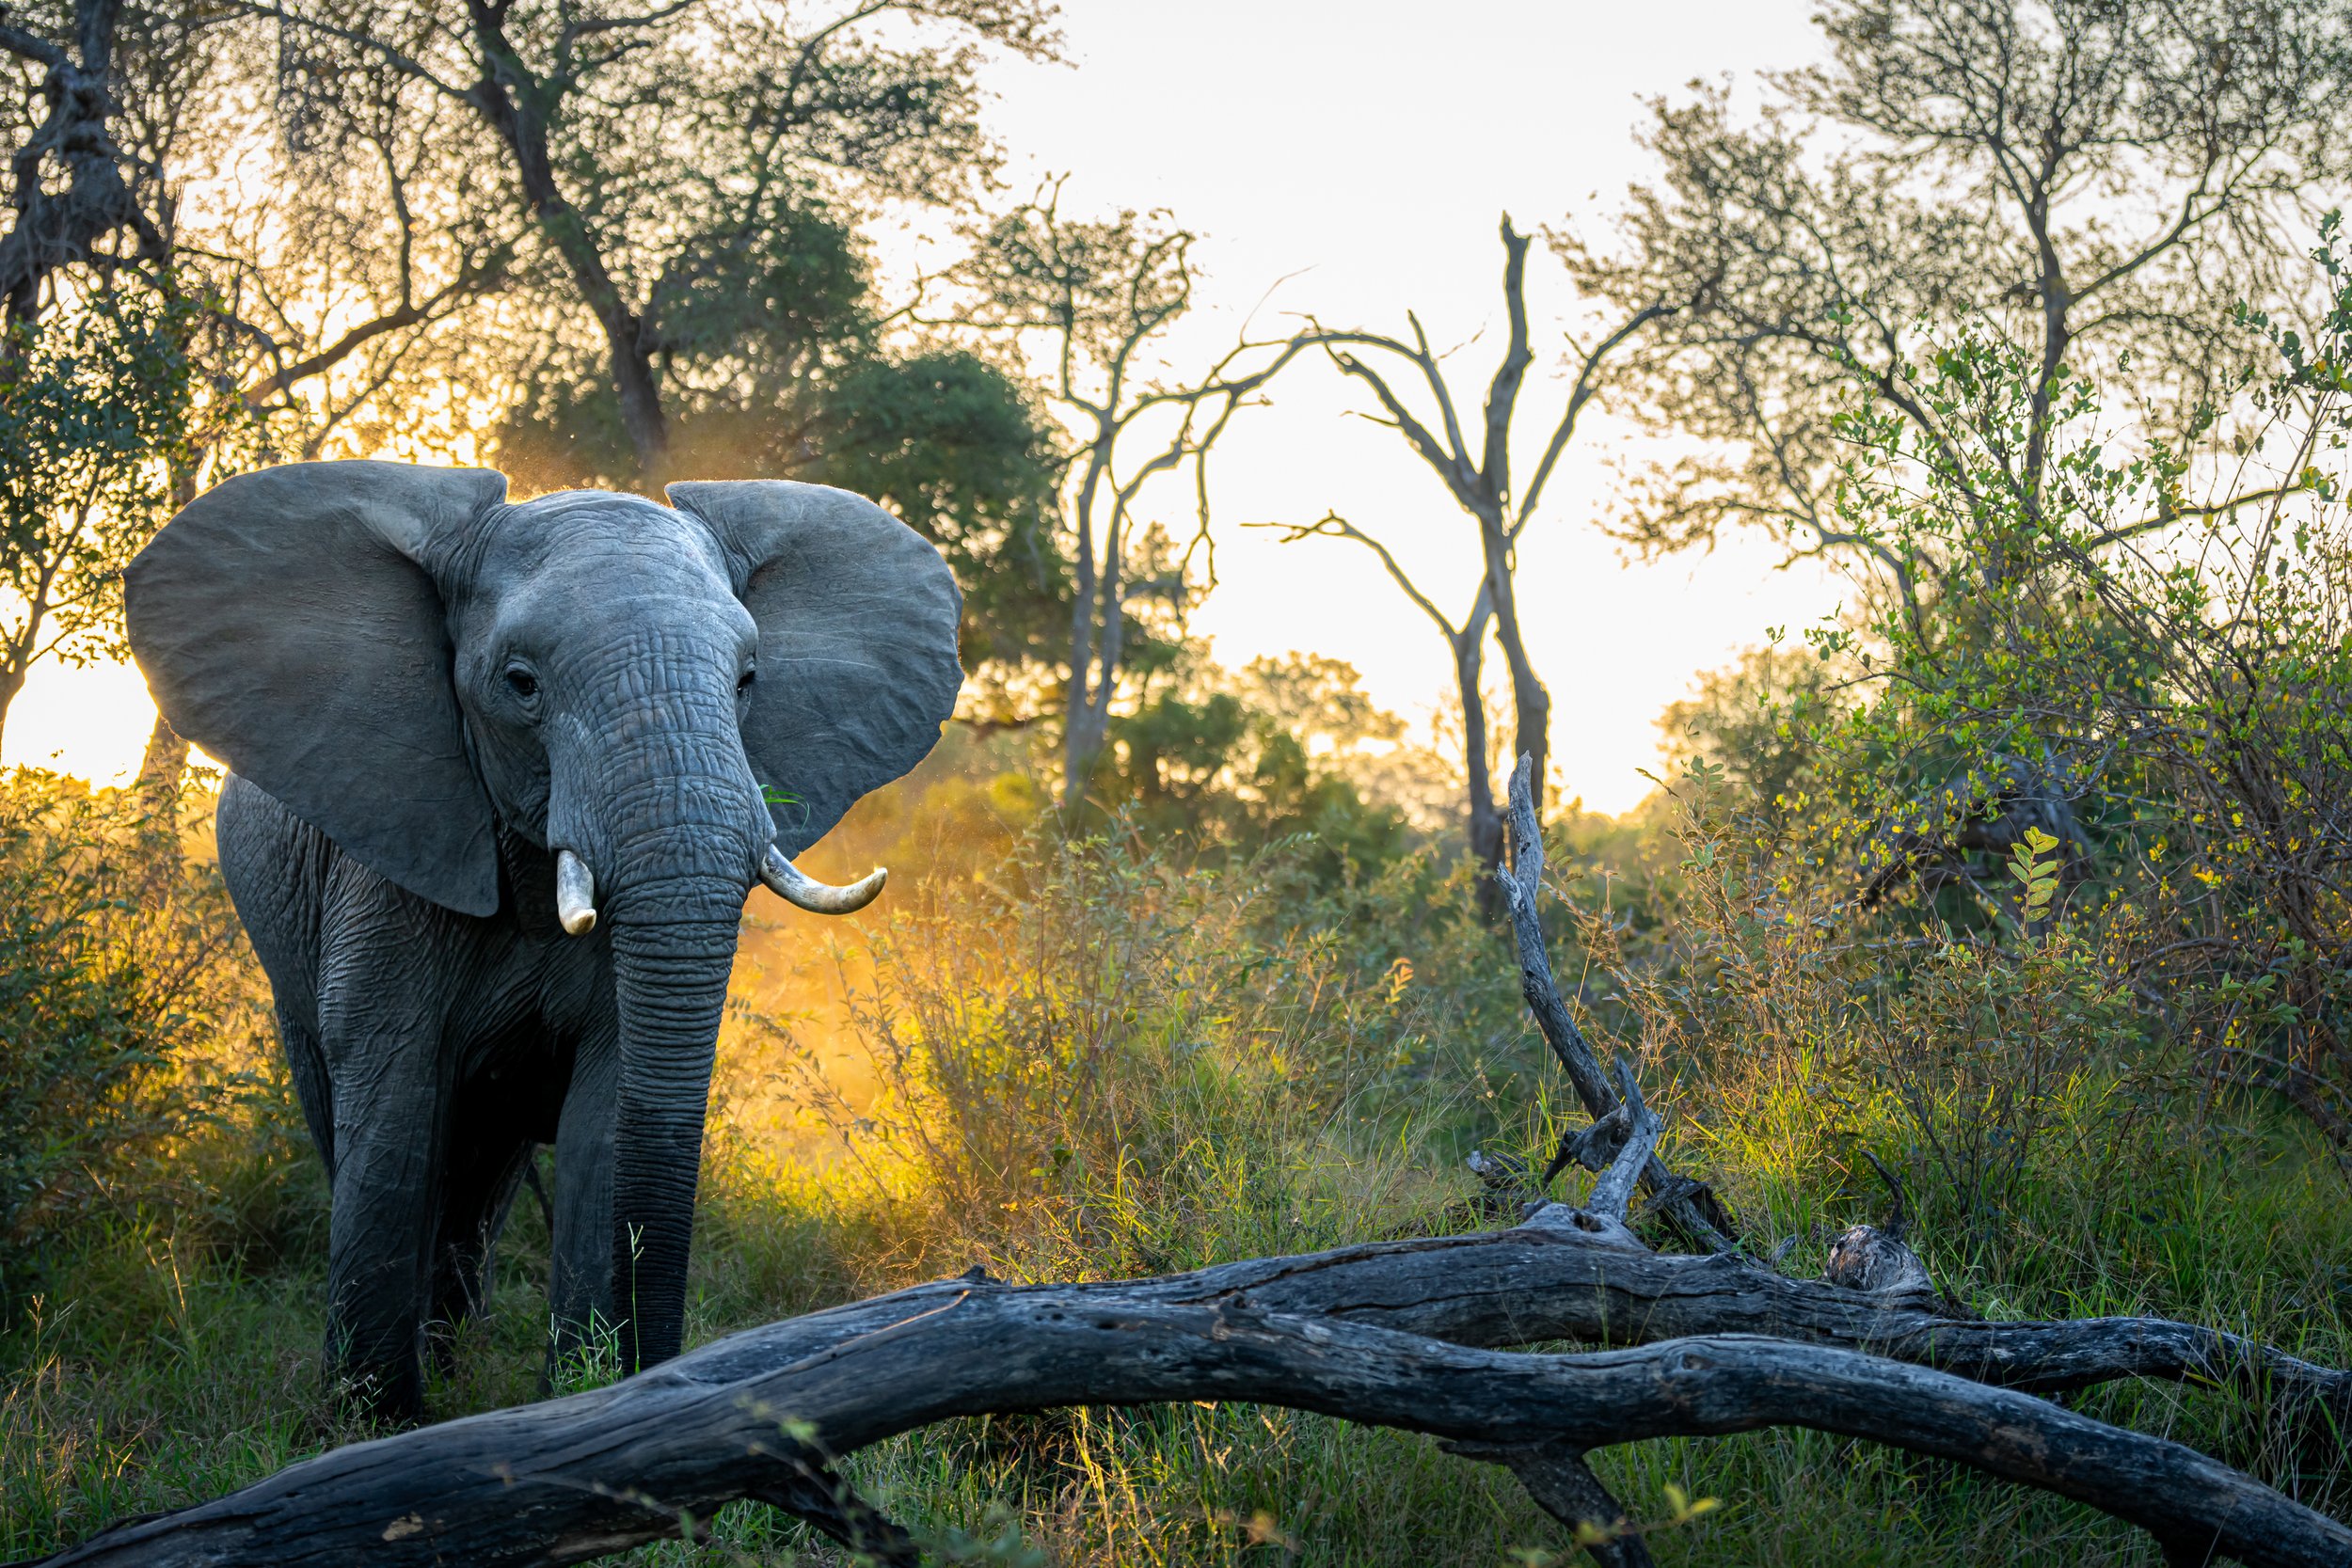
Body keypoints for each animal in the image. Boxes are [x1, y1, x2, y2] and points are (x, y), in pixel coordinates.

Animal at [124, 460, 961, 1418]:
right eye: (521, 683)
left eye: (749, 679)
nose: (658, 1367)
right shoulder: (392, 862)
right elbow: (395, 1101)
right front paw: (375, 1420)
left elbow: (609, 1112)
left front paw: (584, 1393)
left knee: (483, 1171)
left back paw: (459, 1363)